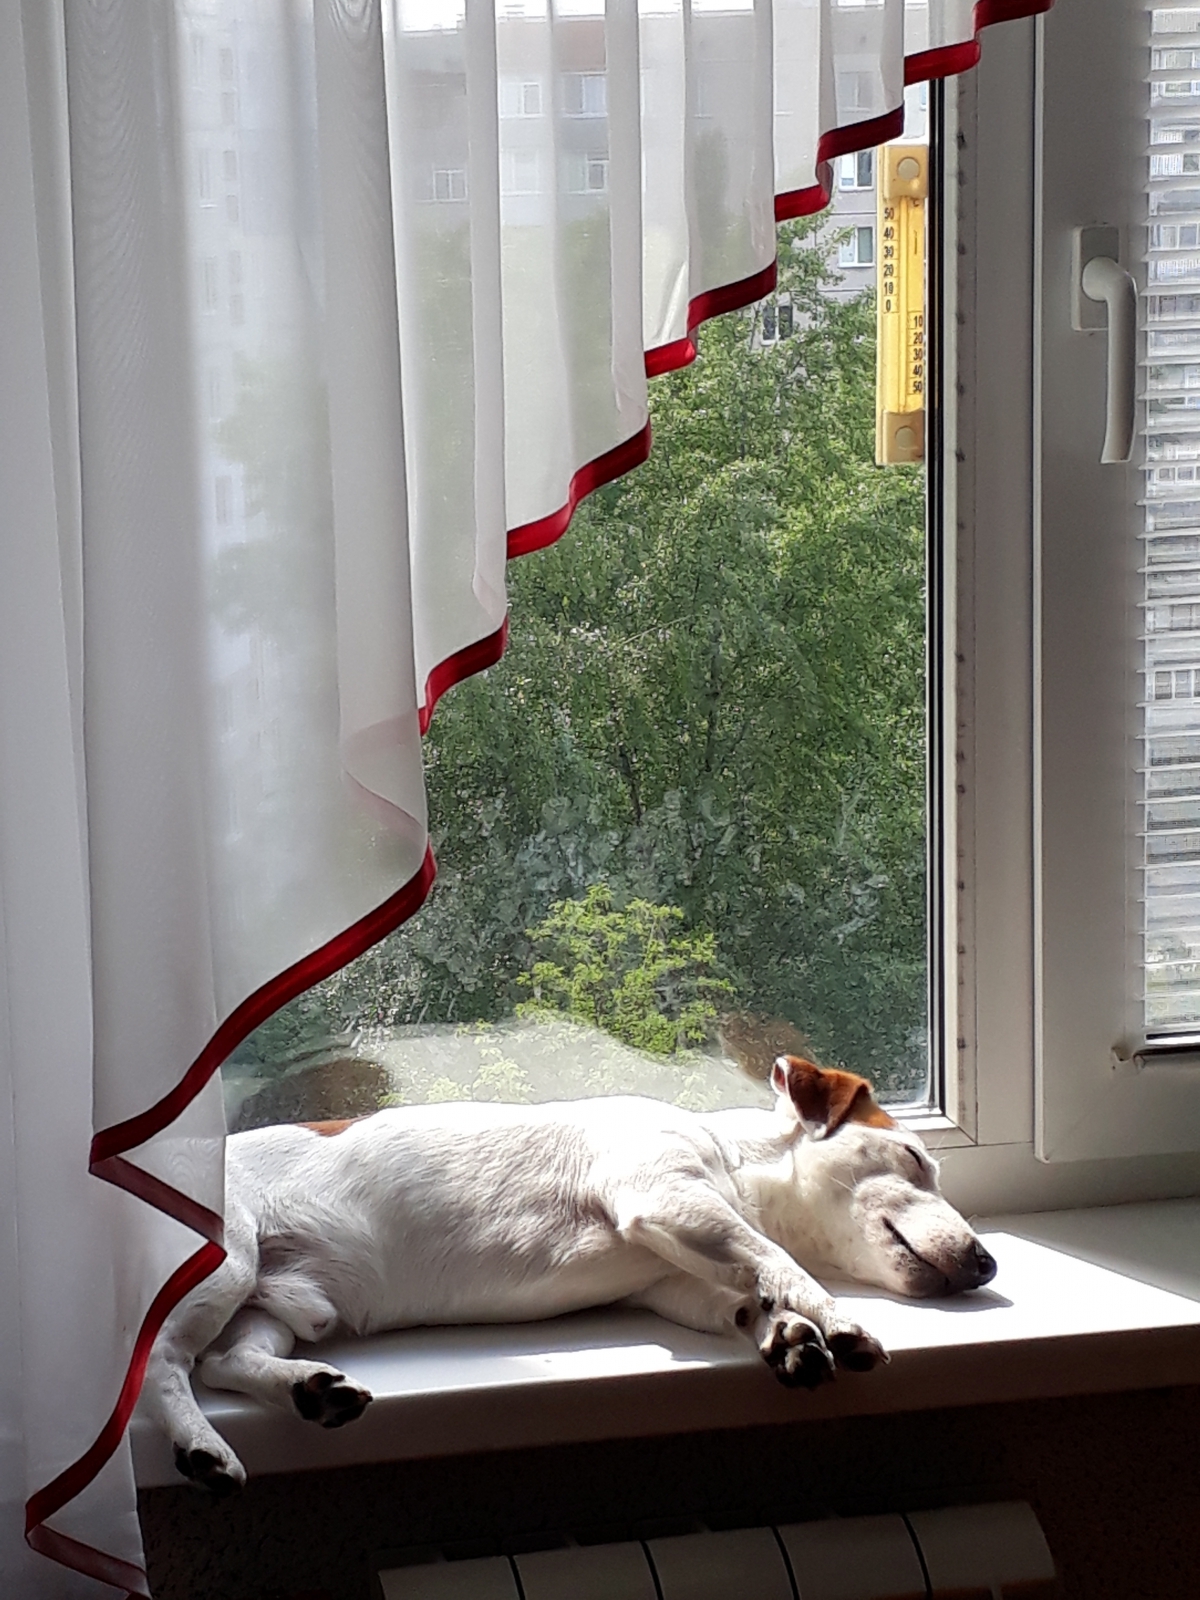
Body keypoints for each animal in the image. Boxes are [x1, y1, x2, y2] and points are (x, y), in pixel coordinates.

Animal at [141, 1054, 996, 1493]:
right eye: (915, 1156)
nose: (987, 1260)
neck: (733, 1163)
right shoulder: (665, 1196)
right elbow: (778, 1262)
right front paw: (838, 1320)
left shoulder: (669, 1274)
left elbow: (742, 1293)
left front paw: (785, 1335)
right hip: (230, 1262)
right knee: (165, 1362)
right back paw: (201, 1446)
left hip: (284, 1305)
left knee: (227, 1360)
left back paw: (309, 1391)